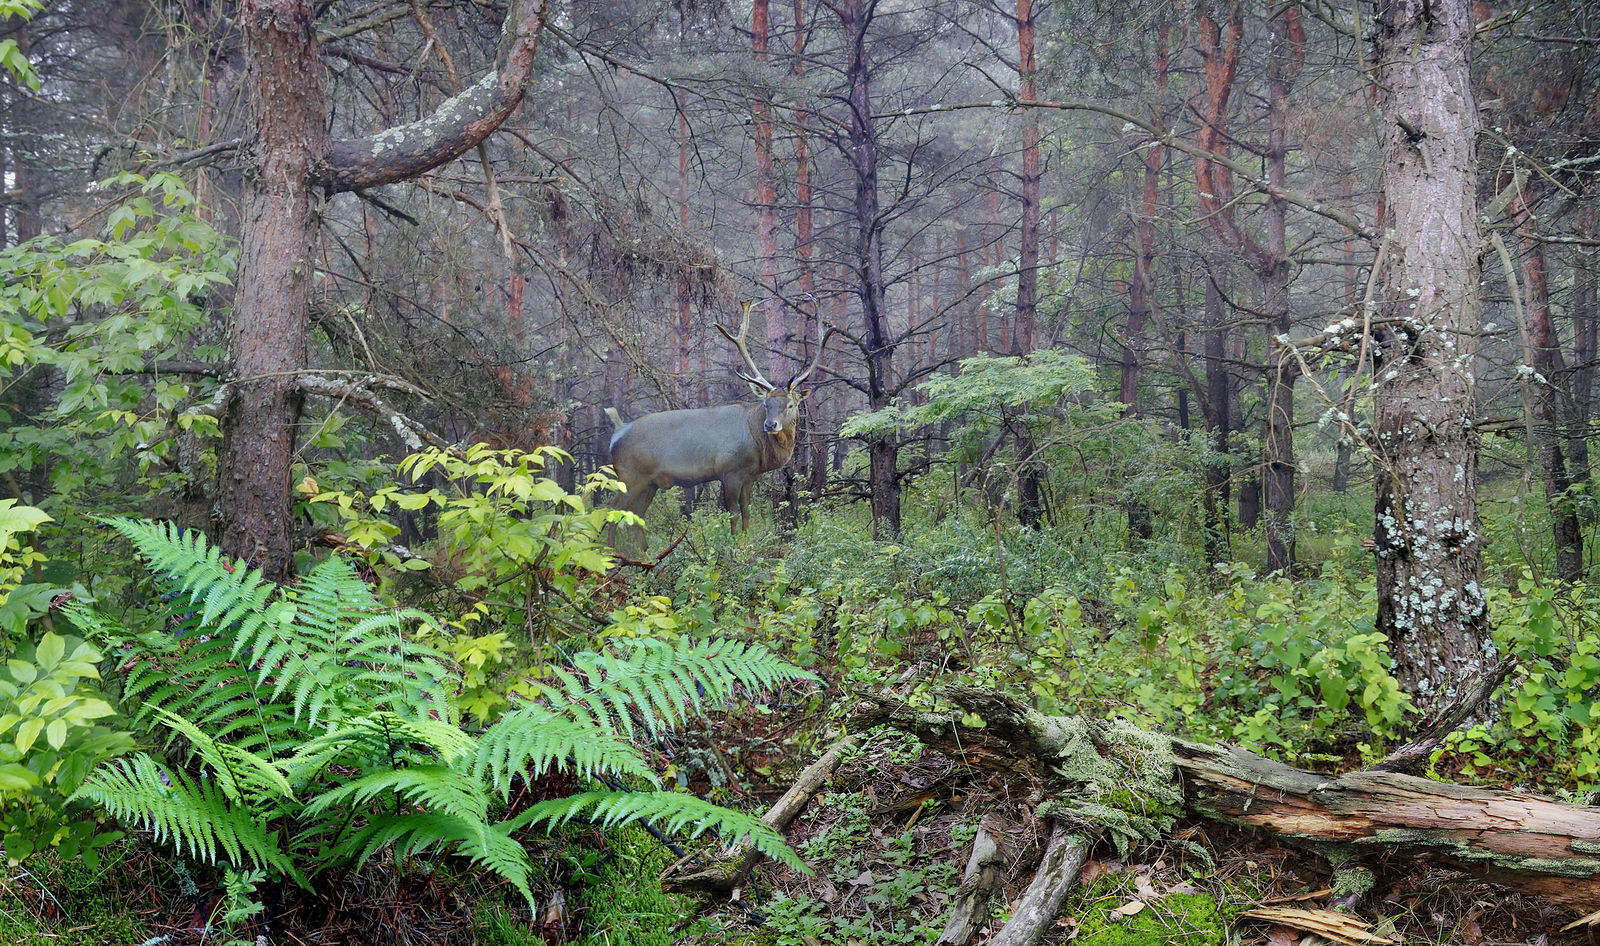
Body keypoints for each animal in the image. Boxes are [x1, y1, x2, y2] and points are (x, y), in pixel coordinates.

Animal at [601, 300, 838, 541]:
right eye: (766, 404)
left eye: (790, 405)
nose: (770, 424)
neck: (757, 443)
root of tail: (617, 430)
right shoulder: (730, 470)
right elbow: (733, 513)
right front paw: (734, 545)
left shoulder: (749, 476)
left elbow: (747, 512)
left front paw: (746, 541)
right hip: (629, 476)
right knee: (611, 511)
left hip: (649, 483)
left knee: (636, 517)